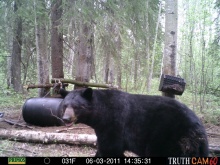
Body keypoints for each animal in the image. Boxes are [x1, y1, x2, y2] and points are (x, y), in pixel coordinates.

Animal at [59, 88, 208, 157]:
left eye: (77, 107)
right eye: (65, 105)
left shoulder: (114, 124)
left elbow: (110, 148)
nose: (66, 119)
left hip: (168, 139)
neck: (101, 115)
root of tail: (199, 129)